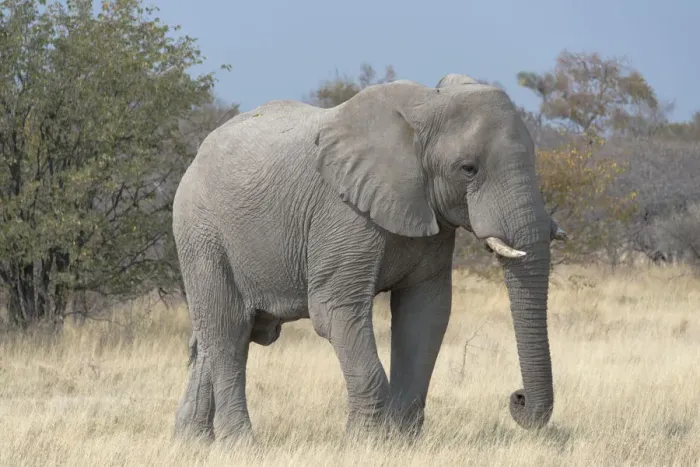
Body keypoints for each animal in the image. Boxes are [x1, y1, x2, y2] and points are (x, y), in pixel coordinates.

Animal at [171, 73, 568, 443]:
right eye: (468, 168)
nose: (517, 398)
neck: (425, 107)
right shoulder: (343, 213)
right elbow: (335, 310)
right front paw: (363, 442)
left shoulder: (432, 220)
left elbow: (425, 313)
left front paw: (400, 442)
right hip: (200, 234)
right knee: (229, 329)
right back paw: (240, 444)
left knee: (218, 335)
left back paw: (192, 441)